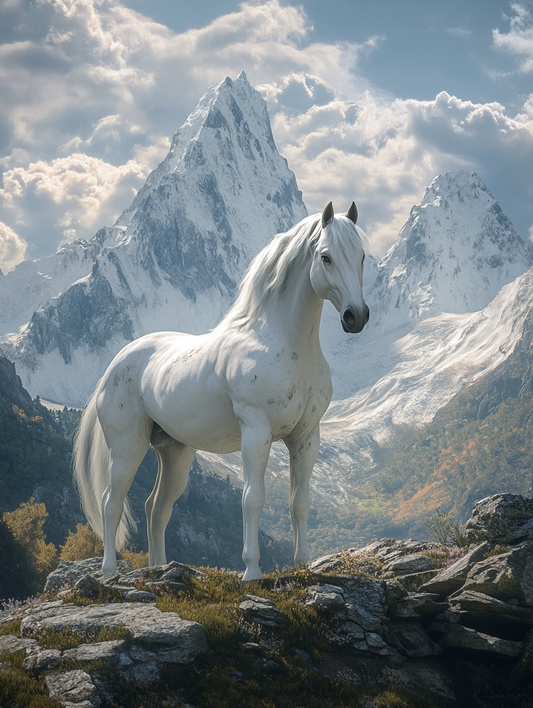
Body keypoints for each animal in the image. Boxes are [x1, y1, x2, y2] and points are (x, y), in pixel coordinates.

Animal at [73, 202, 370, 581]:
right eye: (326, 257)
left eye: (361, 256)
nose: (356, 316)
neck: (283, 344)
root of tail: (114, 366)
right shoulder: (256, 432)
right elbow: (252, 498)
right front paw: (252, 571)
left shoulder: (305, 437)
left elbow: (299, 502)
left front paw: (303, 566)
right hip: (127, 448)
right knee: (111, 503)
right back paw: (109, 571)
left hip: (175, 454)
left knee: (156, 508)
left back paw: (159, 568)